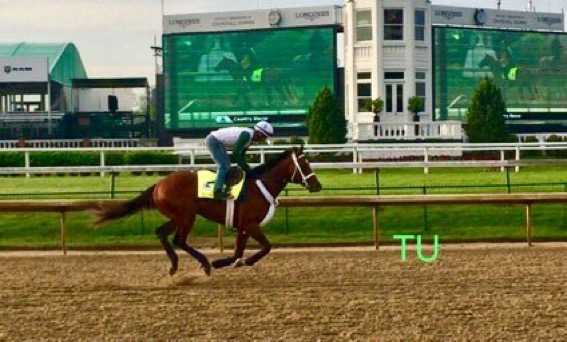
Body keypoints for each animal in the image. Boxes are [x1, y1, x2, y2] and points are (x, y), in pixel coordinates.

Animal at [95, 146, 322, 276]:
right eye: (305, 164)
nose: (317, 185)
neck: (260, 185)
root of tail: (159, 184)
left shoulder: (243, 226)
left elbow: (238, 251)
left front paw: (229, 262)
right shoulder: (251, 224)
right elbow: (266, 247)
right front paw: (238, 261)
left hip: (178, 216)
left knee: (161, 233)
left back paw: (174, 266)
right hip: (187, 216)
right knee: (179, 240)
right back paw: (204, 263)